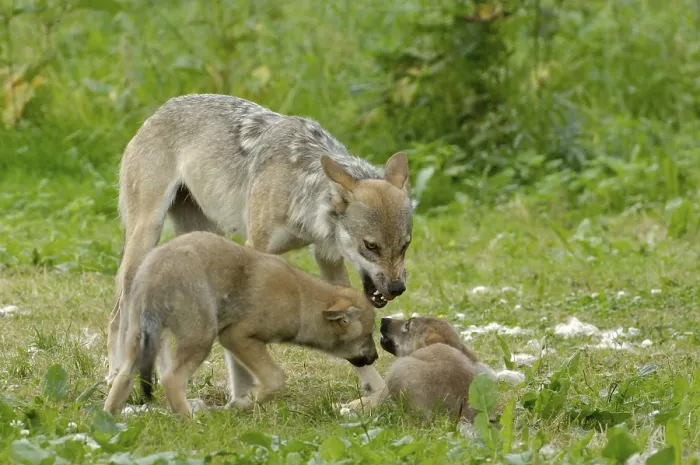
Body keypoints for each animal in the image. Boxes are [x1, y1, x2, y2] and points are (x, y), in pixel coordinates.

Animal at [103, 231, 379, 418]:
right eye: (367, 335)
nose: (376, 356)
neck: (300, 300)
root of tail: (154, 277)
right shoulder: (237, 336)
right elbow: (275, 379)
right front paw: (247, 403)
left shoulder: (235, 343)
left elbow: (243, 378)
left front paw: (238, 404)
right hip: (199, 338)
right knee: (171, 379)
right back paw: (191, 422)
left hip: (139, 339)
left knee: (122, 379)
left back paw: (108, 420)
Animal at [106, 94, 414, 395]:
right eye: (371, 246)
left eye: (404, 246)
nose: (397, 288)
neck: (300, 188)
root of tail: (162, 108)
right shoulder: (257, 247)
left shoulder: (327, 256)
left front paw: (376, 389)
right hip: (146, 236)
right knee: (118, 314)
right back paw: (116, 373)